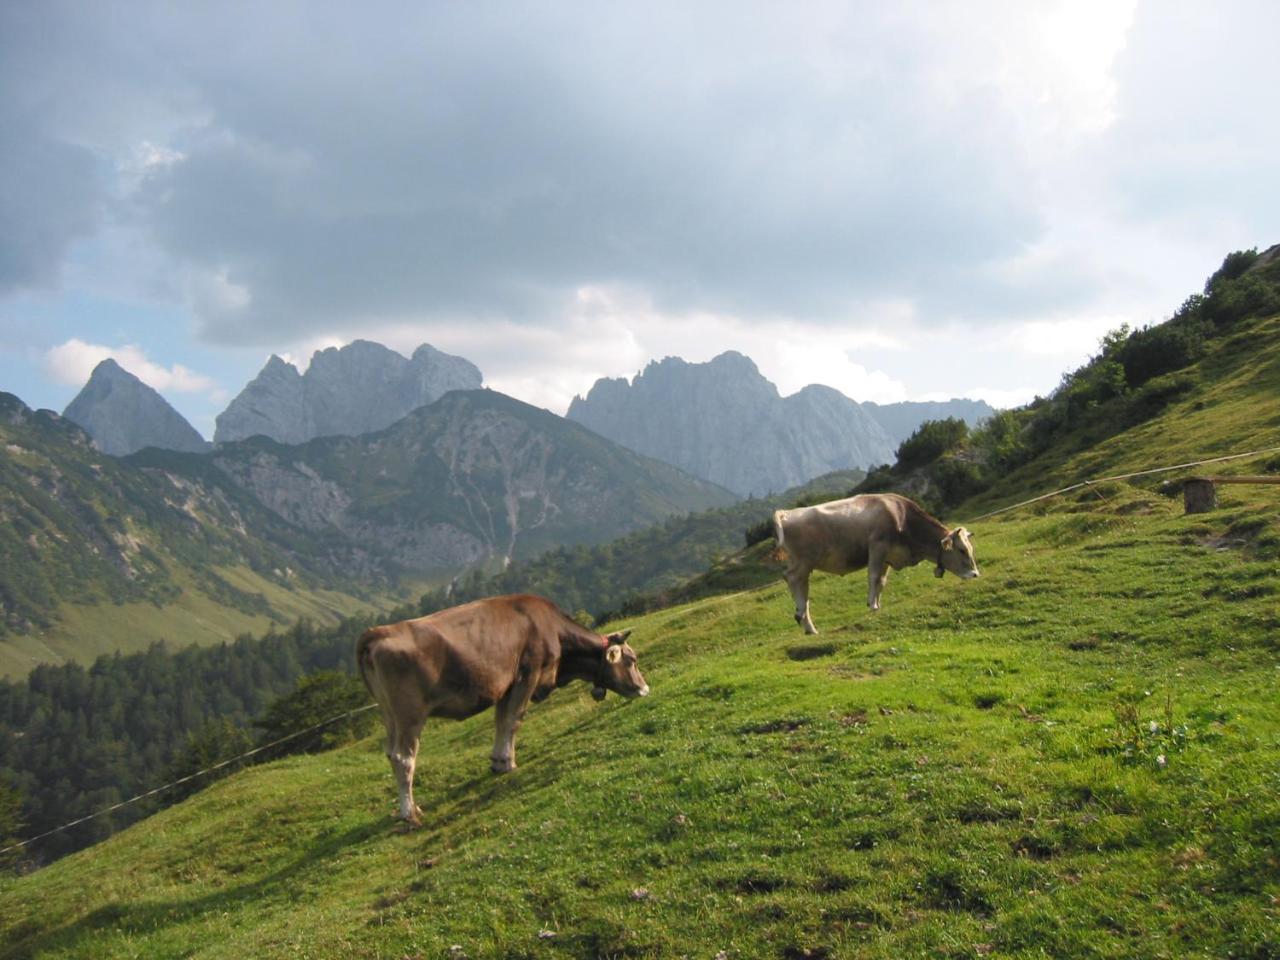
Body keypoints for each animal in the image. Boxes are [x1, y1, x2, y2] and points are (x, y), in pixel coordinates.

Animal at [353, 593, 645, 829]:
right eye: (631, 660)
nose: (644, 688)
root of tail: (377, 632)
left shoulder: (506, 684)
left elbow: (501, 721)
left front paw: (497, 761)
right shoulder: (528, 675)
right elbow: (514, 720)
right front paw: (508, 762)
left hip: (389, 716)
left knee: (391, 754)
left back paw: (413, 807)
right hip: (409, 714)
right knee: (404, 757)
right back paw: (409, 814)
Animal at [768, 491, 977, 634]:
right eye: (962, 550)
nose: (975, 574)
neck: (901, 515)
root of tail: (786, 513)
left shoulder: (887, 557)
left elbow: (881, 582)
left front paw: (877, 605)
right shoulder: (878, 547)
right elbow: (874, 577)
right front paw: (873, 606)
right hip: (804, 562)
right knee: (793, 580)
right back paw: (807, 623)